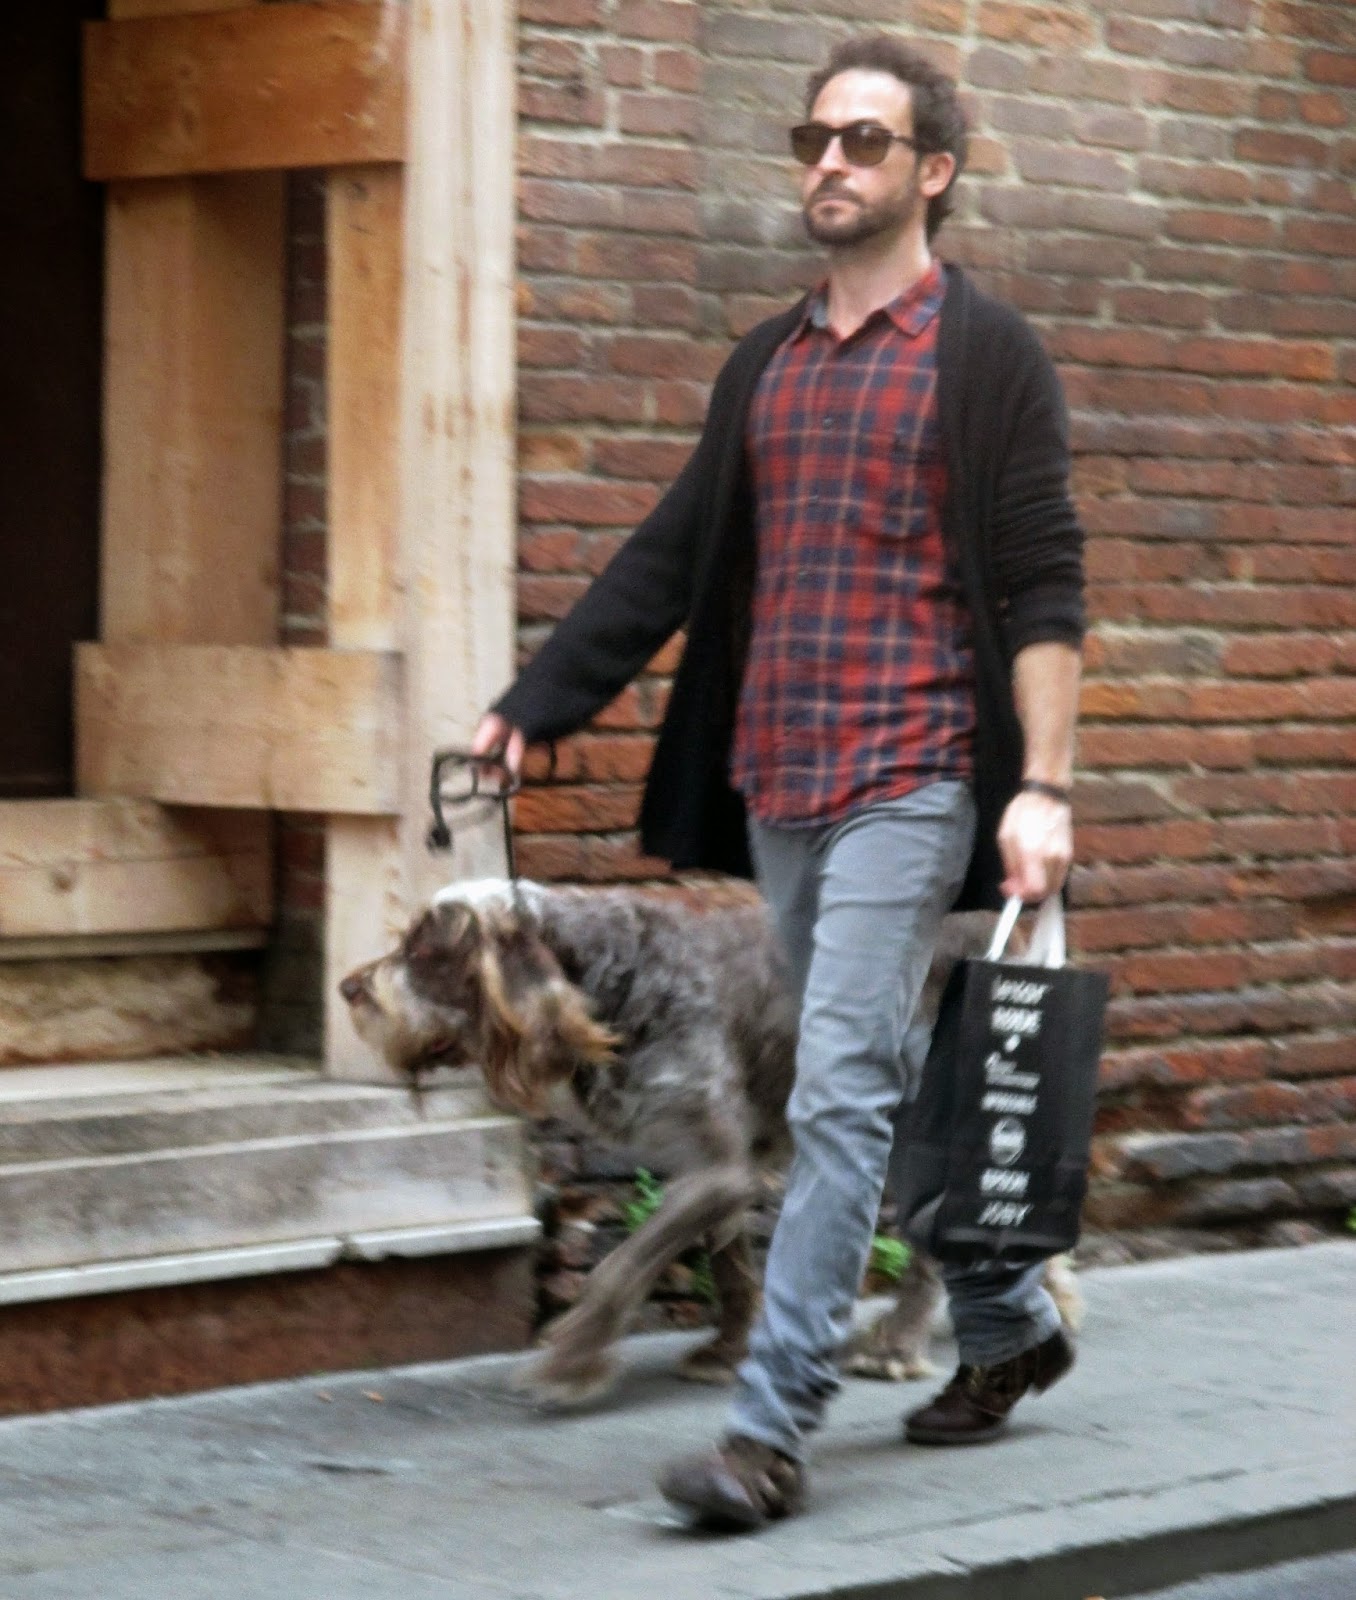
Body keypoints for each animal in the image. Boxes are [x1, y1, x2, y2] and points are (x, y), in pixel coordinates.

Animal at [340, 879, 1082, 1404]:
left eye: (425, 954)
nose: (349, 988)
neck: (611, 978)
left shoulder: (719, 1167)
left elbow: (621, 1267)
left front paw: (571, 1359)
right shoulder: (708, 1165)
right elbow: (729, 1265)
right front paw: (727, 1350)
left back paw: (896, 1345)